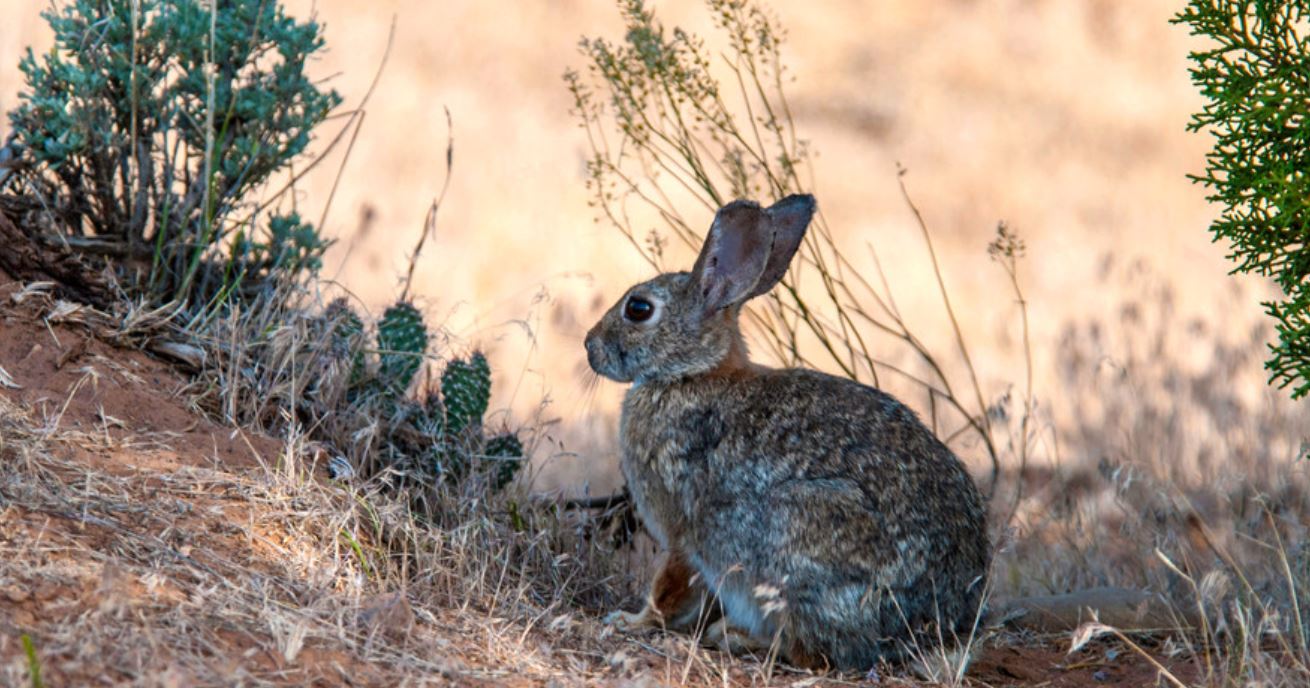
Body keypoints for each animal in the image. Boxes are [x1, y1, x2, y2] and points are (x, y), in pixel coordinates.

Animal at [586, 193, 990, 670]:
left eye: (639, 309)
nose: (589, 346)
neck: (691, 374)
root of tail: (934, 626)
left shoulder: (684, 530)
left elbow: (669, 588)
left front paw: (630, 621)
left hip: (800, 537)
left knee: (818, 651)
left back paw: (738, 637)